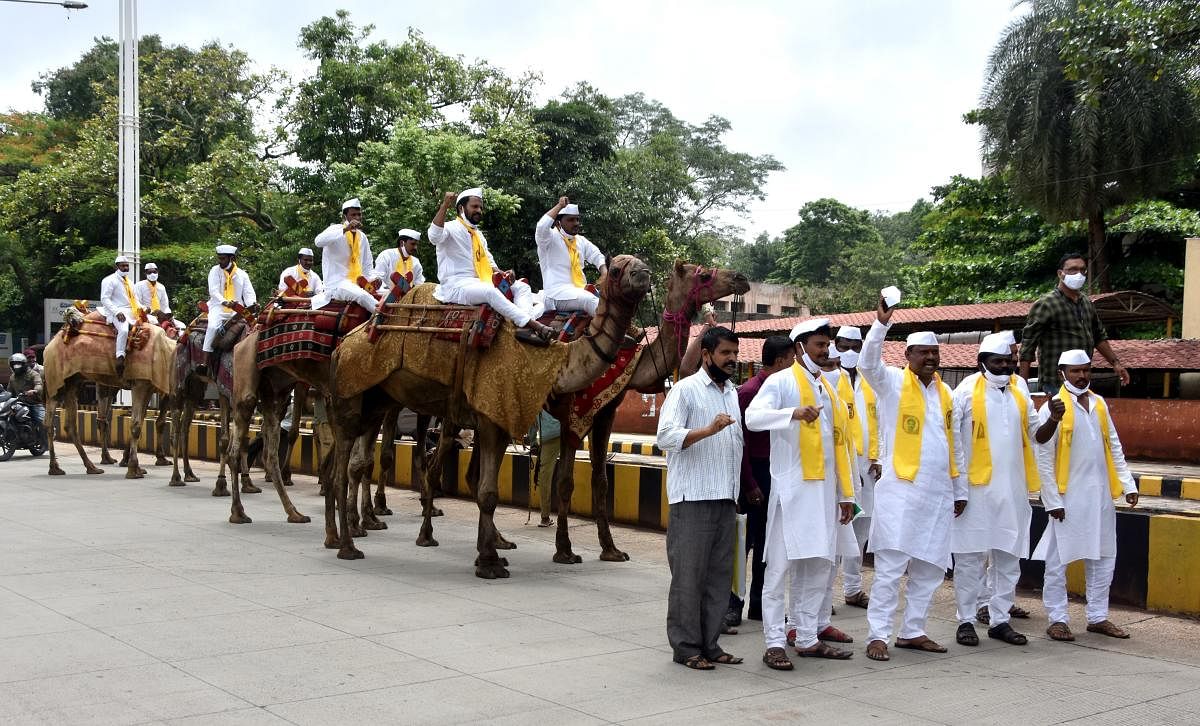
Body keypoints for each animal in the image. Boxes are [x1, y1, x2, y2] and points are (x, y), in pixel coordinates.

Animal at [43, 304, 175, 477]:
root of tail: (49, 345)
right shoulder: (141, 383)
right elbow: (137, 424)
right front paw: (133, 468)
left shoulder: (150, 386)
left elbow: (143, 421)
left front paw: (135, 464)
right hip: (57, 380)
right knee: (51, 422)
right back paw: (59, 467)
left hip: (73, 381)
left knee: (69, 425)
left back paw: (87, 467)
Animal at [328, 253, 652, 571]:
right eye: (617, 269)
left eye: (637, 263)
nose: (644, 274)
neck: (554, 358)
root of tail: (343, 345)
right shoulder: (493, 412)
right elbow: (488, 492)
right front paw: (490, 563)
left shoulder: (503, 416)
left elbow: (488, 489)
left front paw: (491, 552)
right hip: (353, 394)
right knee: (345, 468)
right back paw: (349, 545)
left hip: (375, 400)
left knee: (348, 460)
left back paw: (339, 536)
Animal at [552, 260, 748, 561]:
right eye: (703, 275)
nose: (741, 278)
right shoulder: (572, 414)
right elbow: (565, 481)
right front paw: (564, 550)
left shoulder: (606, 411)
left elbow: (601, 480)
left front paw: (611, 549)